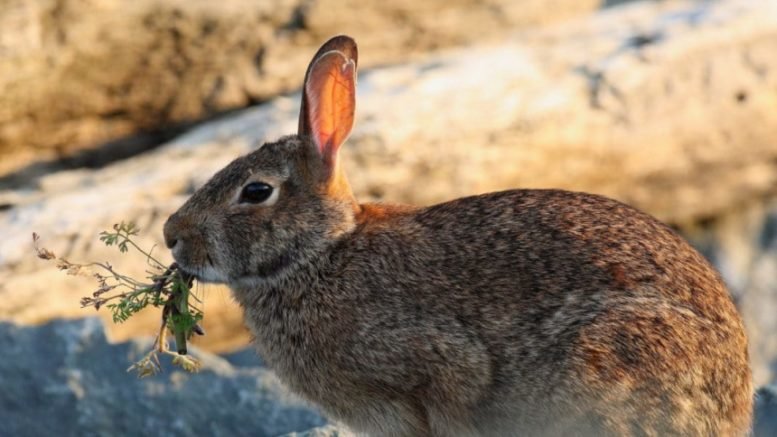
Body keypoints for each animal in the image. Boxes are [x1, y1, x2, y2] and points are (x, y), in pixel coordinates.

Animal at [164, 35, 752, 434]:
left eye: (256, 192)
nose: (172, 234)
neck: (320, 255)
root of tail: (733, 405)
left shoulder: (439, 365)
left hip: (606, 364)